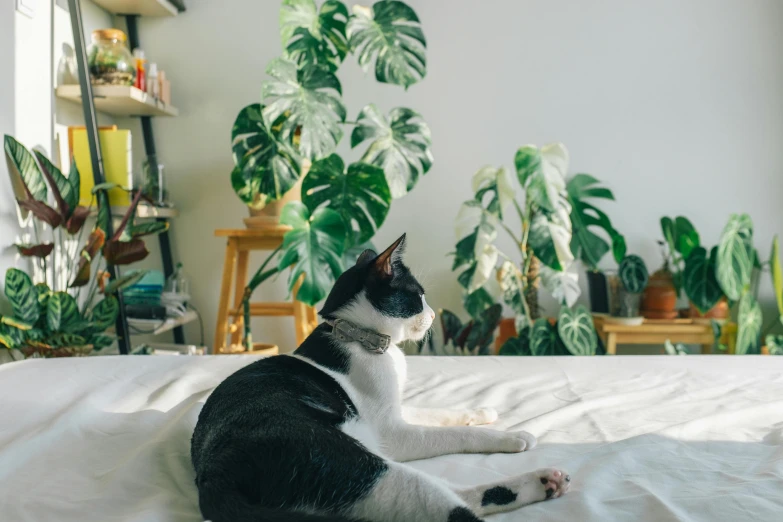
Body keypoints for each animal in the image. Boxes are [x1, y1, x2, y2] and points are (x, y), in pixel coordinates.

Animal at [190, 234, 568, 516]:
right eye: (417, 297)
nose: (433, 315)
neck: (361, 337)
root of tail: (212, 475)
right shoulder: (393, 433)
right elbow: (456, 434)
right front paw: (511, 435)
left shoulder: (396, 410)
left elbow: (438, 411)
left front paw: (481, 411)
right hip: (364, 466)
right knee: (452, 507)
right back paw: (540, 480)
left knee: (458, 495)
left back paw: (547, 482)